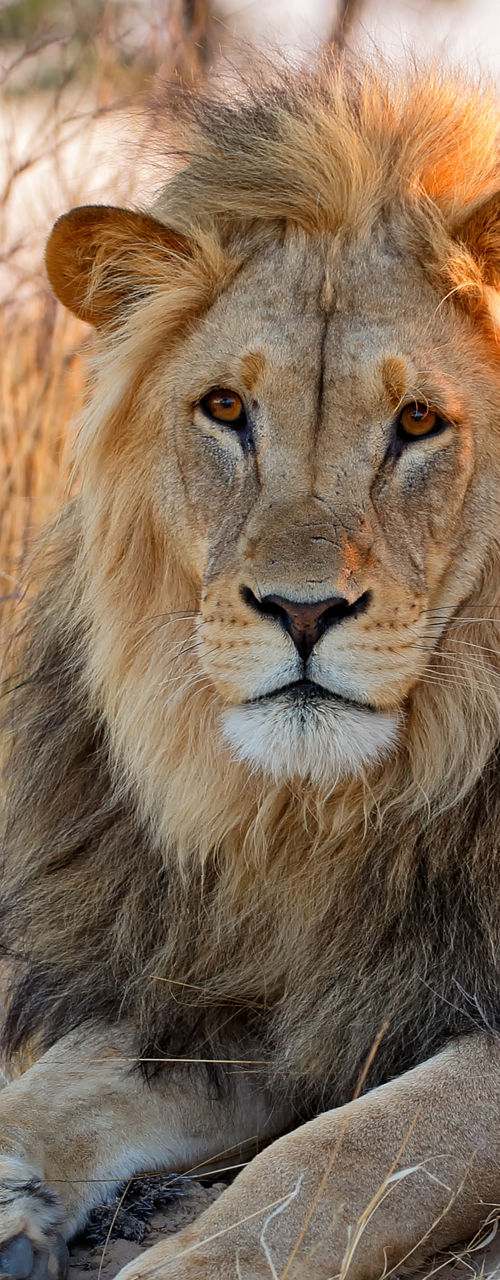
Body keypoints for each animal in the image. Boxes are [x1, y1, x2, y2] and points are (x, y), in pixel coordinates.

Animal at [1, 53, 500, 1280]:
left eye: (419, 421)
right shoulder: (249, 981)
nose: (301, 610)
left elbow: (342, 1160)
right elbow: (60, 1083)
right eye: (226, 408)